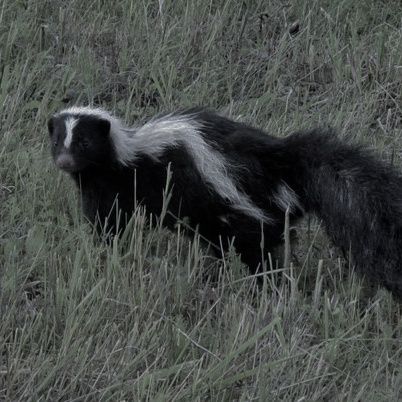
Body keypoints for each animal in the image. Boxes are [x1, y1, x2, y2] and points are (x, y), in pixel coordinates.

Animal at [48, 107, 402, 298]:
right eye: (57, 141)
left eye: (84, 142)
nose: (64, 162)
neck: (126, 154)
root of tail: (281, 167)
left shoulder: (120, 185)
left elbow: (109, 223)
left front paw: (104, 251)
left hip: (237, 209)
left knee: (258, 247)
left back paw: (262, 284)